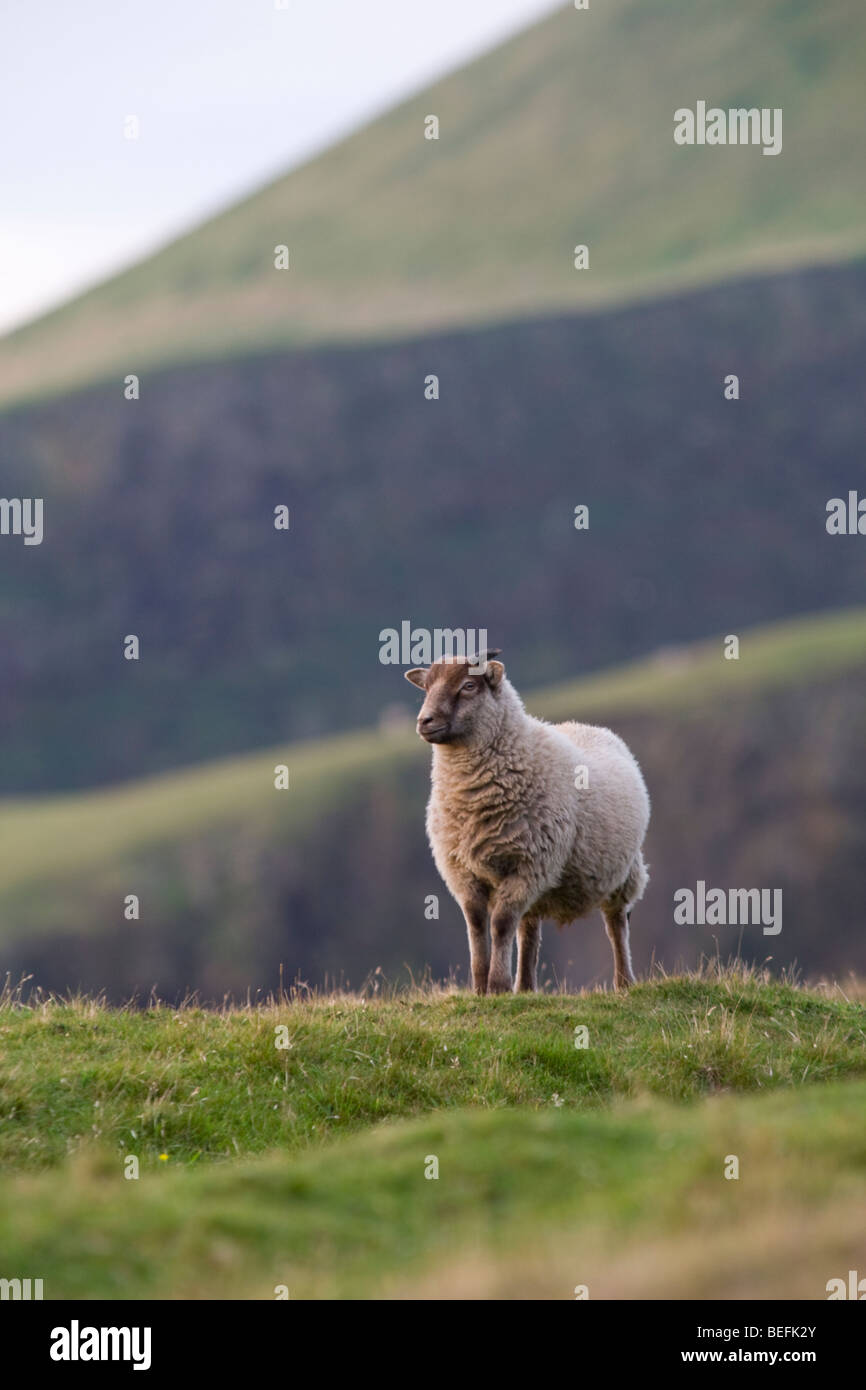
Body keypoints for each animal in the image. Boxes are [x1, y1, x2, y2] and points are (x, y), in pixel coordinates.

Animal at [405, 644, 650, 995]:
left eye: (469, 686)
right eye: (426, 688)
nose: (424, 721)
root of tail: (585, 725)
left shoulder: (527, 864)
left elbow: (500, 924)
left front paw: (497, 986)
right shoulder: (462, 870)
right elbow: (477, 924)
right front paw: (480, 987)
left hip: (623, 871)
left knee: (616, 923)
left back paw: (623, 982)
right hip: (543, 886)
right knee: (530, 930)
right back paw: (525, 987)